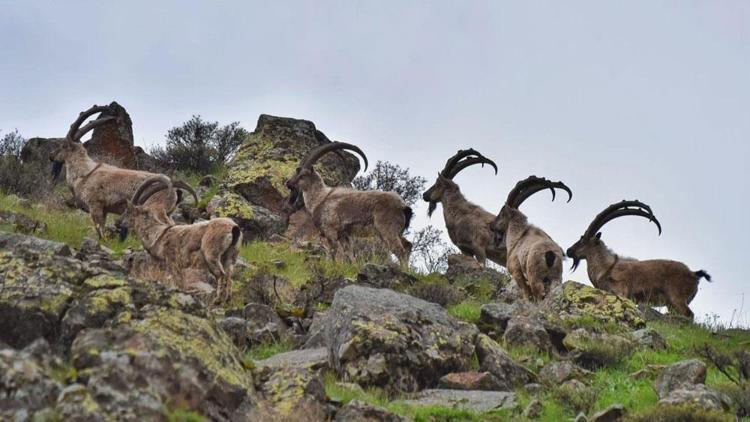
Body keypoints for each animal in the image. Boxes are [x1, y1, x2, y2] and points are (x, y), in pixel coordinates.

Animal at [50, 105, 197, 237]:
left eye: (63, 145)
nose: (51, 156)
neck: (85, 173)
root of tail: (175, 191)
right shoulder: (104, 210)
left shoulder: (95, 206)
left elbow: (100, 231)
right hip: (168, 212)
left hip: (156, 208)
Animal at [122, 176, 242, 304]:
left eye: (128, 211)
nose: (119, 223)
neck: (159, 234)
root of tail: (234, 229)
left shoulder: (173, 263)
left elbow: (179, 283)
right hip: (230, 257)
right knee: (230, 278)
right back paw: (227, 299)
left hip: (211, 256)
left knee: (221, 275)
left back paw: (217, 300)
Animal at [284, 143, 414, 266]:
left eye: (302, 175)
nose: (288, 183)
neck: (320, 198)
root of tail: (403, 206)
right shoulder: (344, 235)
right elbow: (350, 254)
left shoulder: (330, 230)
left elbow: (333, 251)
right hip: (395, 231)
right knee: (408, 245)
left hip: (387, 229)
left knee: (400, 251)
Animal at [568, 200, 712, 316]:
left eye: (583, 239)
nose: (569, 251)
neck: (606, 268)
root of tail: (694, 274)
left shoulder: (620, 291)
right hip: (672, 305)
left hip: (677, 299)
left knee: (689, 315)